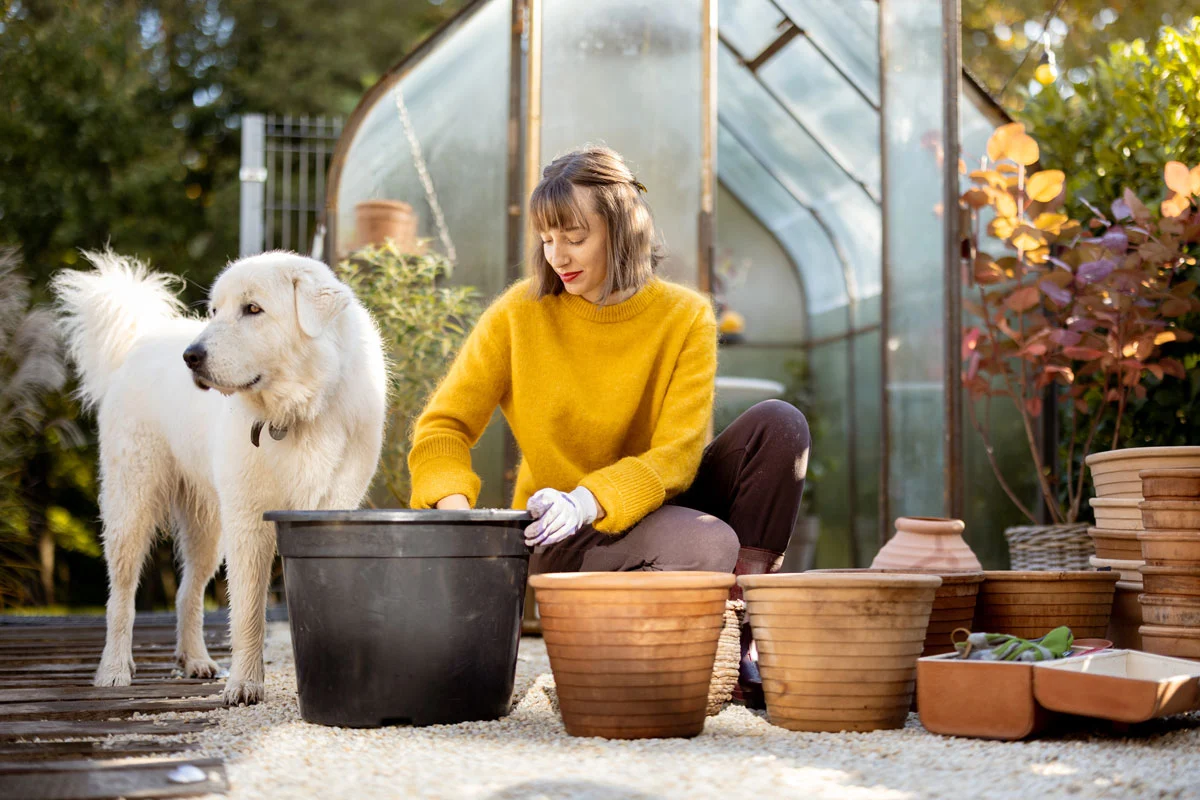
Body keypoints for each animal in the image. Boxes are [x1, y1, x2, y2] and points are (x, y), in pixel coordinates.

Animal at [52, 250, 384, 705]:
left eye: (253, 309)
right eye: (214, 311)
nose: (191, 356)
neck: (296, 413)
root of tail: (141, 340)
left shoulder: (328, 511)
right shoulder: (247, 521)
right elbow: (246, 611)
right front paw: (244, 685)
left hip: (207, 527)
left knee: (185, 591)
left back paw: (194, 660)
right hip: (132, 505)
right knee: (121, 595)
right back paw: (114, 669)